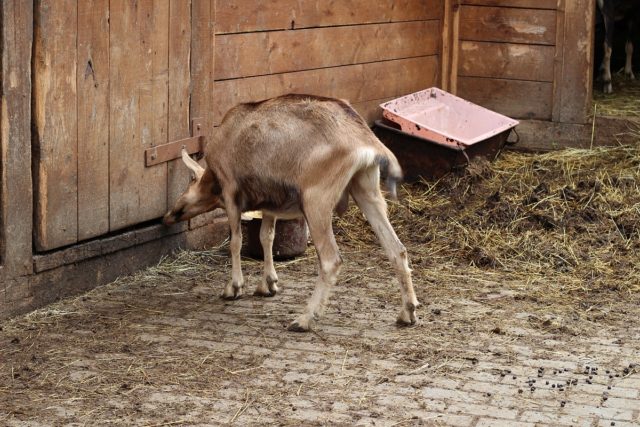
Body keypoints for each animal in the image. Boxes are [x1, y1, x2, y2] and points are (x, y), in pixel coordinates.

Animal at [162, 95, 418, 332]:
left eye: (189, 182)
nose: (167, 217)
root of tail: (366, 140)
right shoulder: (270, 205)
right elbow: (266, 236)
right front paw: (268, 284)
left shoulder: (231, 191)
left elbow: (236, 241)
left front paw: (233, 287)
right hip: (367, 191)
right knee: (397, 250)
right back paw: (408, 312)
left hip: (317, 203)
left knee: (331, 260)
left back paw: (305, 318)